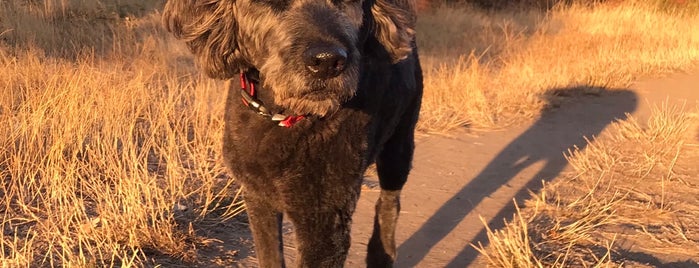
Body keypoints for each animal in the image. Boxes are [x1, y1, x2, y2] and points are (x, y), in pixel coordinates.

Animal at [164, 0, 424, 264]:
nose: (328, 62)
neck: (284, 117)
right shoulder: (258, 197)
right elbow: (270, 256)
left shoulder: (325, 221)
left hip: (399, 147)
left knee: (389, 202)